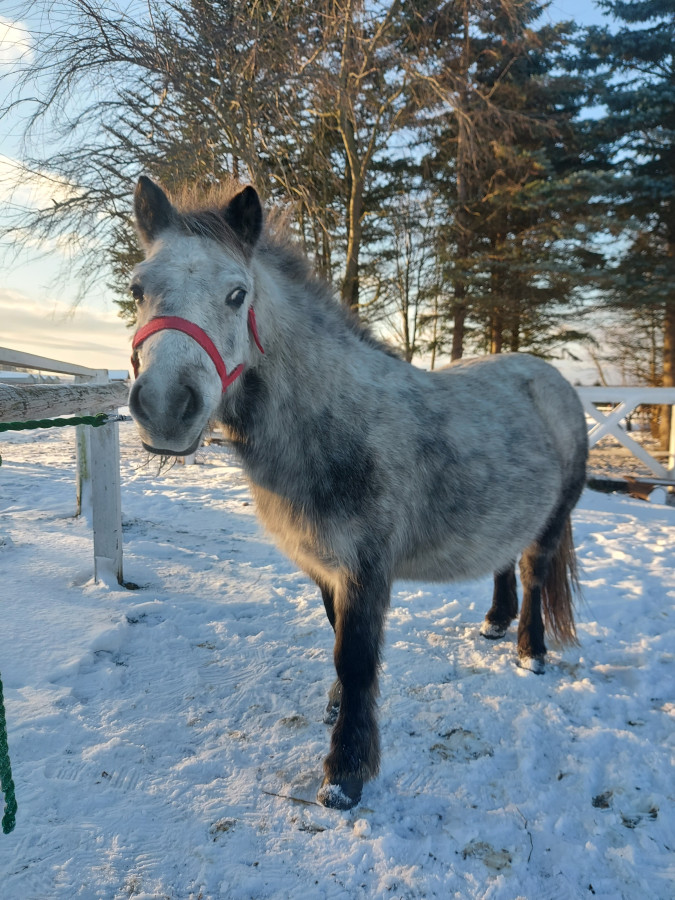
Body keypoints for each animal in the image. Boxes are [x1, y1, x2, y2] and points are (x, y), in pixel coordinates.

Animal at [128, 176, 588, 810]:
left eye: (237, 295)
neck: (333, 422)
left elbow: (357, 659)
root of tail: (552, 379)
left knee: (535, 572)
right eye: (138, 289)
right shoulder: (326, 568)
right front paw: (336, 712)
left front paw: (345, 775)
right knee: (503, 561)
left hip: (553, 518)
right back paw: (495, 623)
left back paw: (530, 653)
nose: (165, 408)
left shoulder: (366, 570)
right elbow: (337, 639)